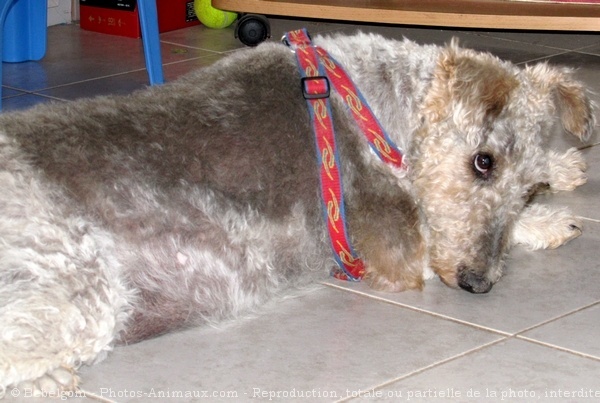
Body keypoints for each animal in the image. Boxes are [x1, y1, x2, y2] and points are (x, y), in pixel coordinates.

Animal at [0, 32, 592, 398]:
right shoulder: (394, 250)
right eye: (482, 161)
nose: (476, 283)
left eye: (528, 186)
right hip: (83, 289)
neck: (374, 108)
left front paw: (563, 168)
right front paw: (550, 221)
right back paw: (49, 381)